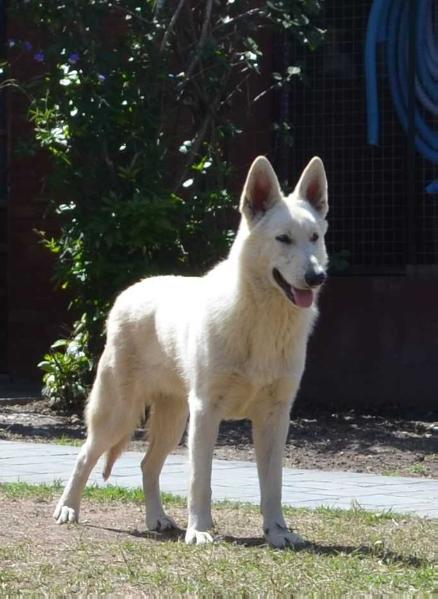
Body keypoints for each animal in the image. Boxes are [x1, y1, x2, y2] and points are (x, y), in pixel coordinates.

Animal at [53, 155, 328, 548]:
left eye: (315, 238)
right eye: (283, 239)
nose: (317, 277)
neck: (261, 320)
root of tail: (129, 292)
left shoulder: (275, 418)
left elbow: (272, 484)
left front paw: (277, 531)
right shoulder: (206, 413)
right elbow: (201, 479)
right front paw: (199, 530)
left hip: (172, 421)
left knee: (147, 465)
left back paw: (157, 518)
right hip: (120, 415)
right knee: (85, 455)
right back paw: (68, 509)